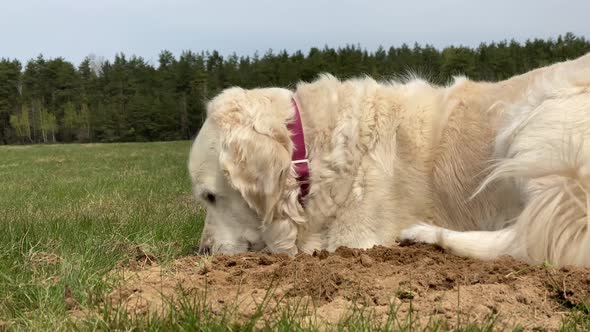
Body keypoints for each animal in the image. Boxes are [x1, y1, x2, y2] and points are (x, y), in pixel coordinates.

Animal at [190, 53, 590, 268]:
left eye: (210, 197)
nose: (202, 252)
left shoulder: (355, 237)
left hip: (532, 124)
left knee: (526, 240)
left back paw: (425, 234)